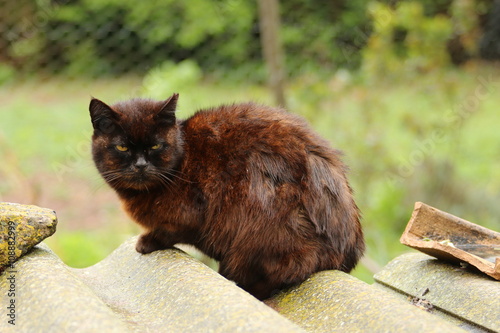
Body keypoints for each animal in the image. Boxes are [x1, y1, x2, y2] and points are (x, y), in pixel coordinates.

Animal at [89, 92, 364, 300]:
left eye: (155, 145)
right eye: (122, 147)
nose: (141, 165)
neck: (183, 159)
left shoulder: (192, 214)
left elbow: (170, 231)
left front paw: (147, 241)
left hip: (264, 227)